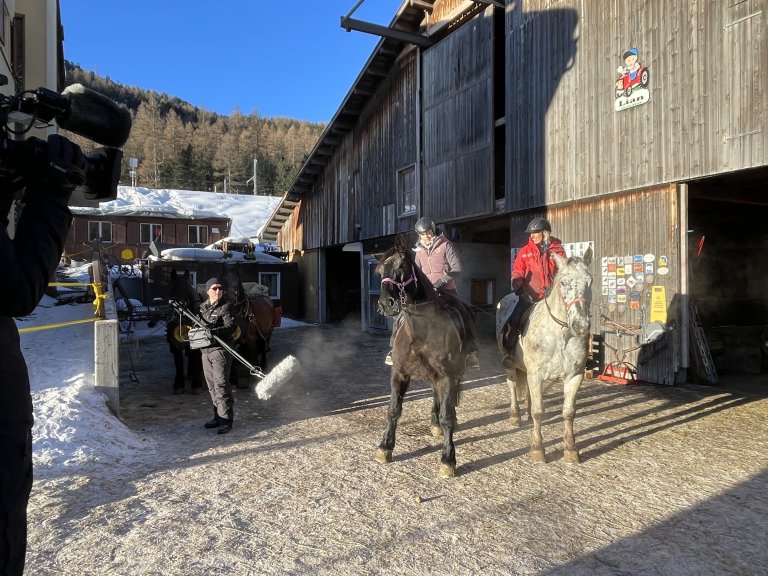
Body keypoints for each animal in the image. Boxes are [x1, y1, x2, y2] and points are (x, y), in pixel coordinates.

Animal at [372, 234, 468, 476]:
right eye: (380, 272)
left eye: (401, 266)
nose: (386, 304)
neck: (421, 332)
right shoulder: (399, 373)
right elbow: (393, 410)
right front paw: (385, 447)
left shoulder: (447, 376)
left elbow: (447, 417)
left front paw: (448, 460)